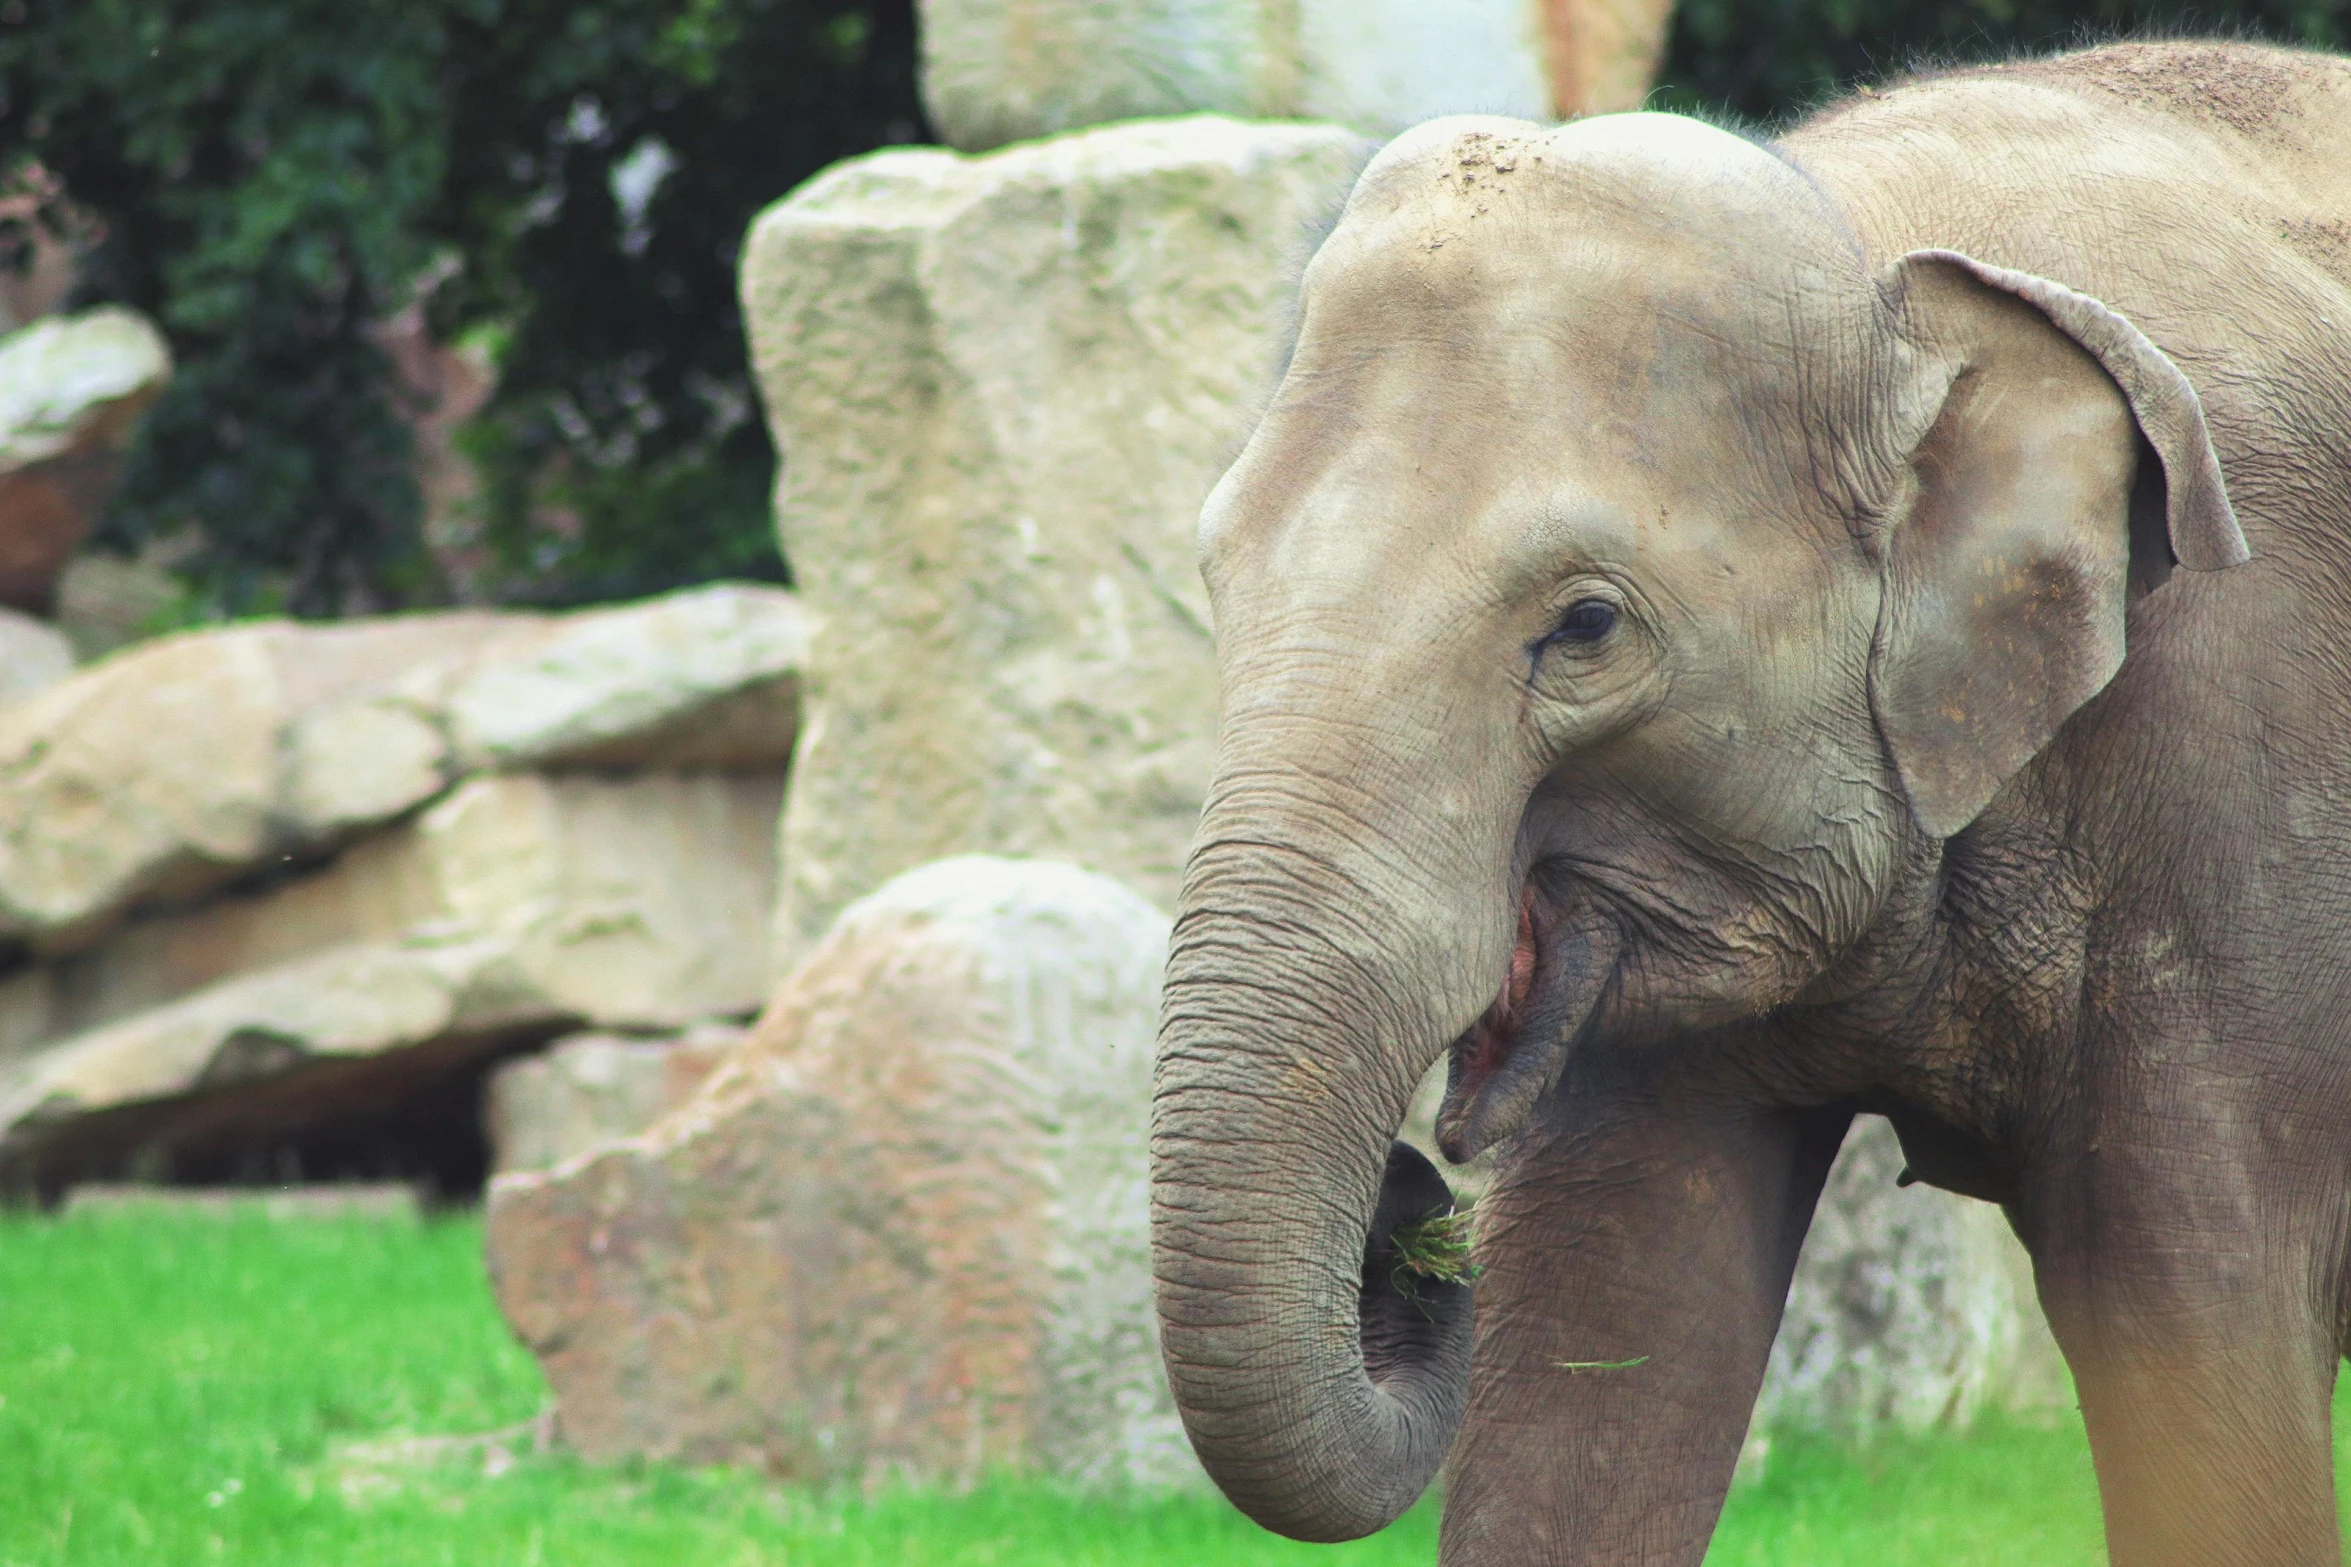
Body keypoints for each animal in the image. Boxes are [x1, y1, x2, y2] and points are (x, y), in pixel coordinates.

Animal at [1147, 36, 2351, 1567]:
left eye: (1583, 625)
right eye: (1215, 573)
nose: (1407, 1211)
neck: (1880, 253)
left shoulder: (2240, 782)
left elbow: (2190, 1327)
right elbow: (1605, 1321)